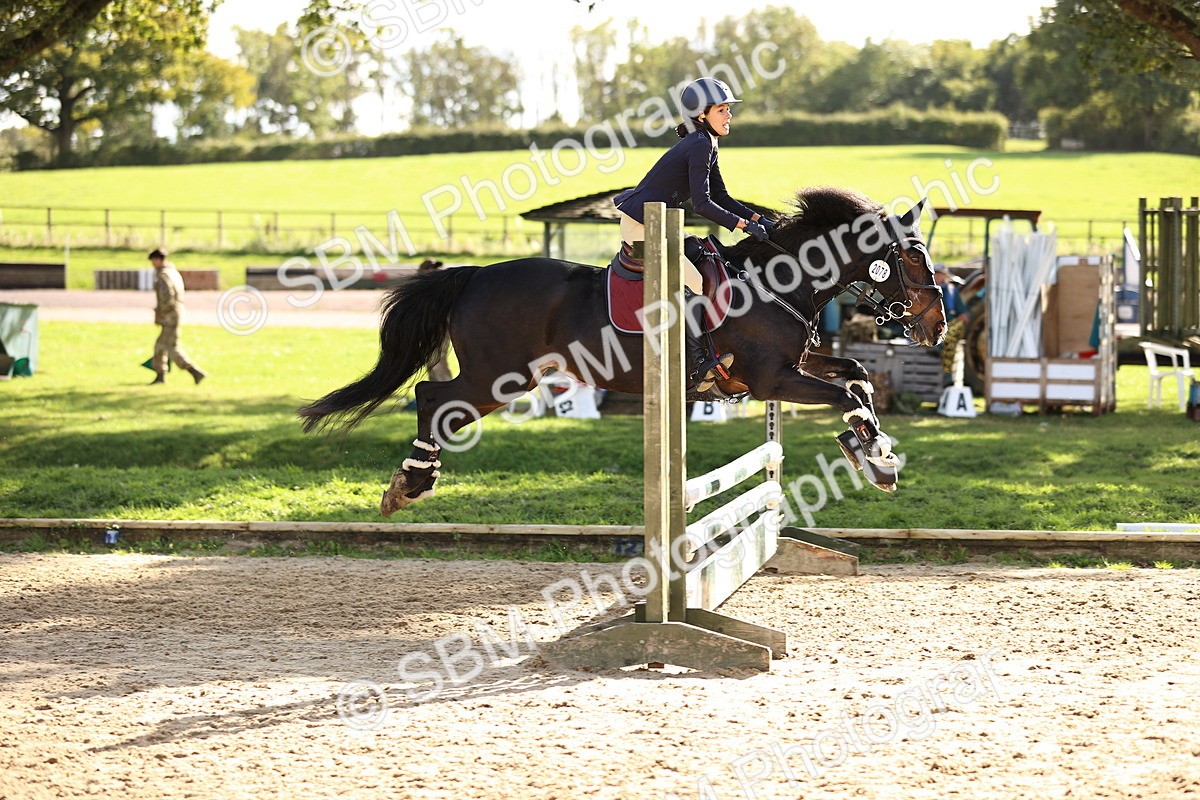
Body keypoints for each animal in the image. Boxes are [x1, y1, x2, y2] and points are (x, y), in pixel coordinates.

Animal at [298, 186, 947, 516]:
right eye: (913, 256)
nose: (936, 326)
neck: (781, 281)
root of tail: (475, 274)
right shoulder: (769, 379)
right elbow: (847, 393)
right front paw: (876, 456)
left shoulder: (793, 367)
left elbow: (857, 376)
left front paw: (874, 452)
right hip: (499, 377)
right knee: (432, 395)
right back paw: (410, 484)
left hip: (507, 378)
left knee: (434, 398)